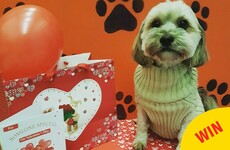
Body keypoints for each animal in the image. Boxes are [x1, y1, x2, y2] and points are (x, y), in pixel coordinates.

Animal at [133, 0, 214, 149]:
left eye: (183, 23)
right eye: (156, 23)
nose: (166, 38)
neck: (166, 70)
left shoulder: (191, 113)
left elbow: (183, 135)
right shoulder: (142, 108)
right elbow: (142, 125)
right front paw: (140, 142)